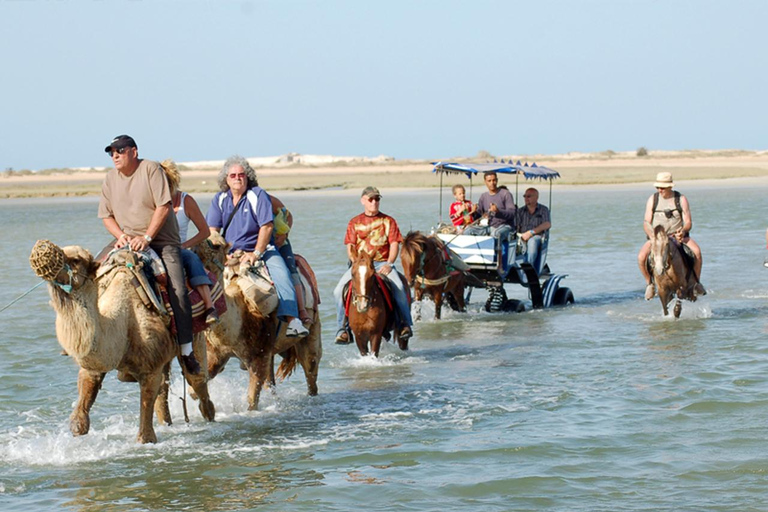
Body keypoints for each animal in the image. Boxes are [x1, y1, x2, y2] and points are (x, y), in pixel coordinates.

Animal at [29, 240, 214, 444]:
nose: (41, 249)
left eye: (76, 259)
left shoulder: (150, 367)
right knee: (165, 388)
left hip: (196, 334)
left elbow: (145, 431)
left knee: (197, 380)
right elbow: (80, 420)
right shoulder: (95, 363)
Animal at [195, 232, 324, 408]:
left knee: (310, 368)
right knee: (272, 382)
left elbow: (252, 400)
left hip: (312, 328)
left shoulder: (258, 355)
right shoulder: (215, 353)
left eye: (216, 245)